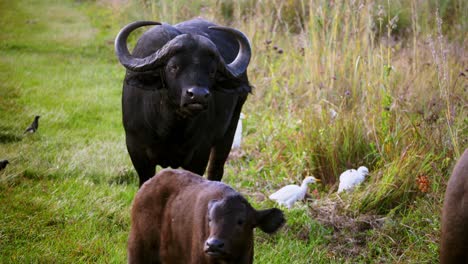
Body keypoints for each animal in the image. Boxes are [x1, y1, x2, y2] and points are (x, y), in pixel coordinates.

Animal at [114, 18, 252, 186]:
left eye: (212, 71)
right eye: (173, 66)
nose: (198, 95)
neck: (170, 126)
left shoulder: (200, 153)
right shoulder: (136, 149)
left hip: (229, 130)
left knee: (216, 170)